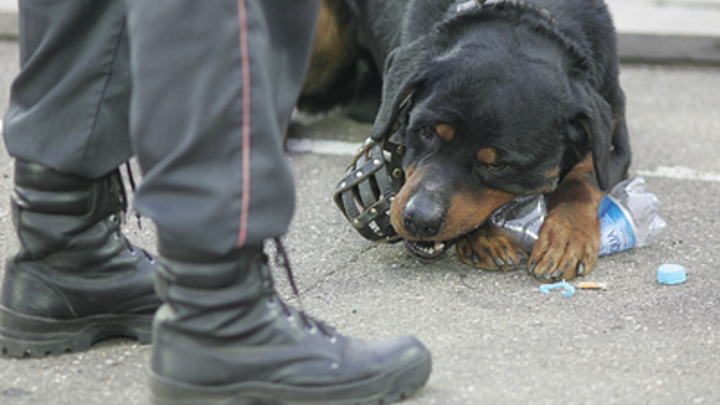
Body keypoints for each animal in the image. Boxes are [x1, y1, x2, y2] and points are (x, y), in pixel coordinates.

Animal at [300, 0, 632, 282]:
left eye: (498, 165)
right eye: (427, 131)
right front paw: (485, 236)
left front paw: (565, 236)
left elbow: (584, 178)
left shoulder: (613, 135)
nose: (419, 219)